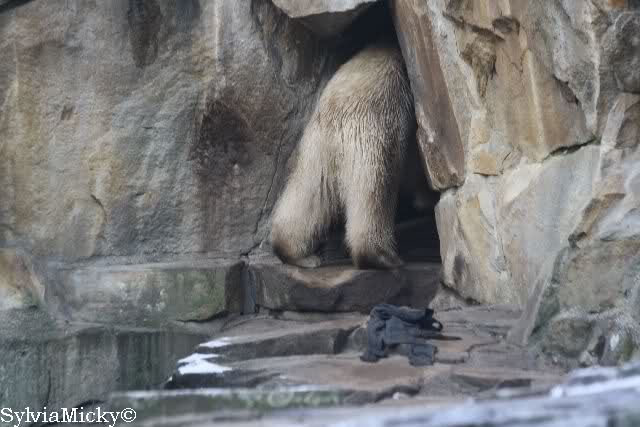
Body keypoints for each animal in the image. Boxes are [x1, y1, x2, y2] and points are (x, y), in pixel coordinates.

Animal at [270, 41, 416, 270]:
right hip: (371, 137)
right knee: (376, 189)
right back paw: (381, 256)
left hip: (316, 151)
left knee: (309, 193)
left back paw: (297, 253)